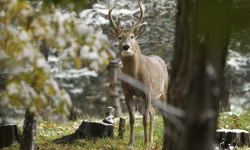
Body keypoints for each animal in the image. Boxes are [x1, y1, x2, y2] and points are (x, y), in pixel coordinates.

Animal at [105, 1, 168, 145]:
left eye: (132, 36)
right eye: (119, 37)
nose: (126, 46)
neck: (135, 74)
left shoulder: (147, 90)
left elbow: (144, 119)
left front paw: (144, 143)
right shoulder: (127, 91)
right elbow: (132, 118)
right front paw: (131, 143)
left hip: (163, 90)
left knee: (164, 114)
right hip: (145, 97)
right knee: (153, 113)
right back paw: (151, 140)